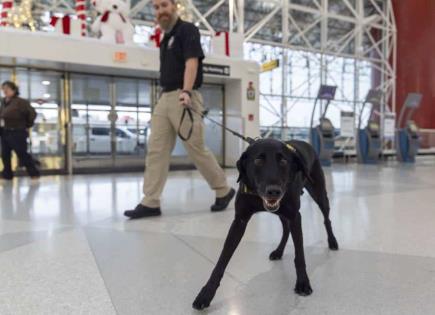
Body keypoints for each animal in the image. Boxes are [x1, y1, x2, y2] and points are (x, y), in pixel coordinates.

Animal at [194, 139, 340, 312]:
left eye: (283, 161)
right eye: (258, 161)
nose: (274, 191)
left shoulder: (295, 216)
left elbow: (300, 256)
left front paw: (303, 283)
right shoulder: (239, 221)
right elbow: (222, 261)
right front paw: (206, 294)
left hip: (319, 194)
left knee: (326, 219)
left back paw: (332, 242)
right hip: (281, 213)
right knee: (285, 229)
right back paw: (278, 251)